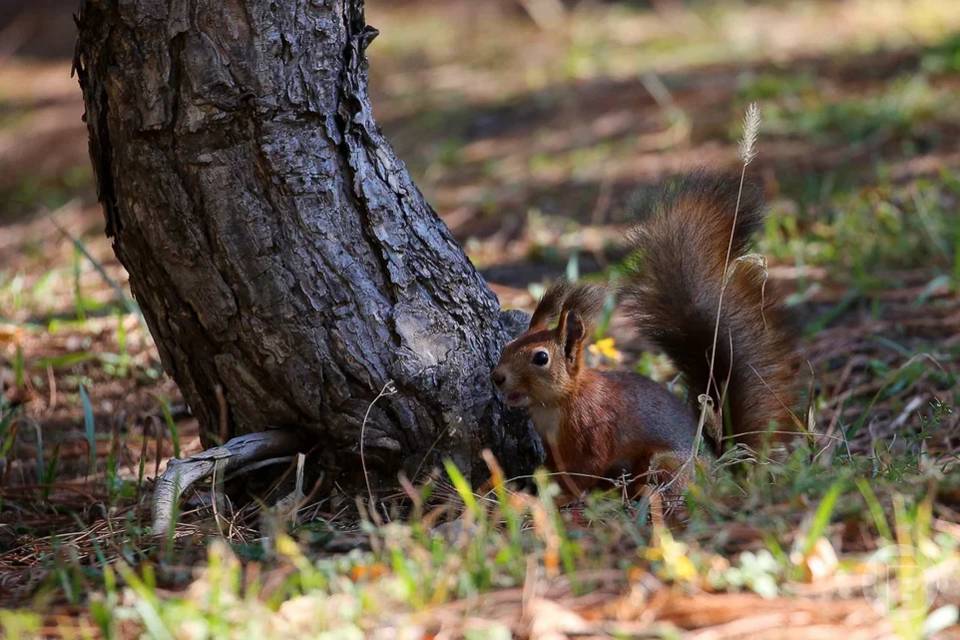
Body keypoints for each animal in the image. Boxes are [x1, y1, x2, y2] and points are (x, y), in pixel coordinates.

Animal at [492, 172, 800, 498]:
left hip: (663, 463)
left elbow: (585, 470)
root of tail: (720, 471)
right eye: (508, 346)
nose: (497, 377)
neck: (557, 403)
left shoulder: (594, 428)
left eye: (541, 358)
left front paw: (563, 497)